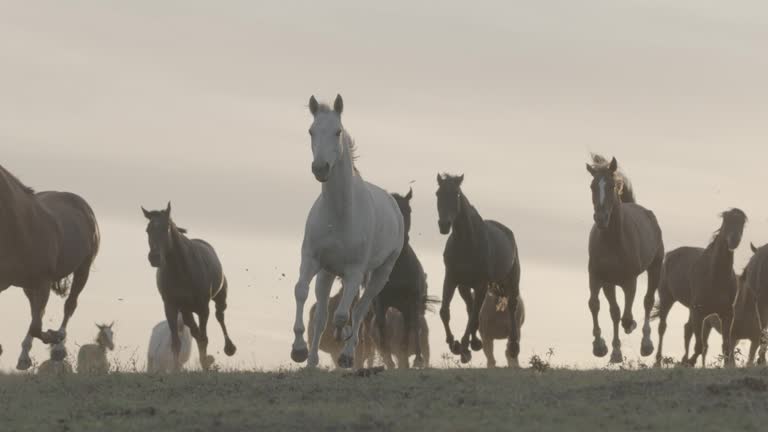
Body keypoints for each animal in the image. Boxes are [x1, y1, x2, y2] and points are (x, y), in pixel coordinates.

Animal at [0, 164, 100, 370]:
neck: (20, 228)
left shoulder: (43, 281)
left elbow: (37, 327)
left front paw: (54, 338)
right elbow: (35, 321)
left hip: (82, 270)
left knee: (69, 306)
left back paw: (59, 346)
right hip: (28, 286)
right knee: (37, 312)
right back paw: (24, 357)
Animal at [142, 203, 236, 372]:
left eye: (166, 228)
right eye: (148, 229)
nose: (154, 257)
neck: (182, 271)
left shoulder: (203, 307)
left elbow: (204, 338)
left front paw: (205, 365)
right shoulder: (171, 306)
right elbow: (176, 343)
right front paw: (176, 370)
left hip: (219, 297)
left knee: (220, 316)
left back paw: (229, 348)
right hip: (186, 310)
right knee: (194, 330)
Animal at [292, 94, 404, 368]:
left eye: (337, 131)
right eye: (311, 131)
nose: (320, 168)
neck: (338, 216)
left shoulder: (354, 271)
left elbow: (345, 314)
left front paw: (343, 340)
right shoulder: (312, 260)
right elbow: (301, 292)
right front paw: (298, 350)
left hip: (380, 274)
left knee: (361, 309)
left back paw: (346, 353)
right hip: (327, 273)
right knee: (323, 315)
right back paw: (312, 361)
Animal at [584, 154, 664, 362]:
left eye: (611, 185)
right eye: (592, 186)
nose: (601, 218)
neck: (613, 242)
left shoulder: (629, 281)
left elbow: (626, 316)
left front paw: (630, 329)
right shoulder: (600, 277)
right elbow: (598, 306)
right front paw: (602, 348)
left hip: (655, 268)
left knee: (647, 301)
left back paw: (646, 344)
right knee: (616, 311)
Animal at [656, 208, 744, 366]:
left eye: (742, 223)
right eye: (726, 221)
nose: (734, 240)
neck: (715, 277)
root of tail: (669, 255)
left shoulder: (726, 314)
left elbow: (726, 346)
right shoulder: (699, 313)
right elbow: (699, 346)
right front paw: (689, 362)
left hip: (691, 309)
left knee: (687, 329)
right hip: (667, 299)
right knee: (662, 327)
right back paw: (658, 360)